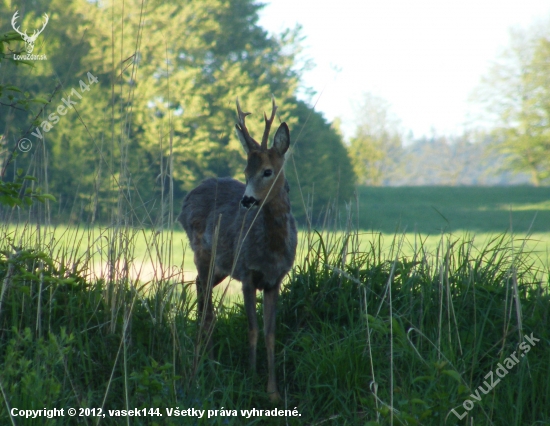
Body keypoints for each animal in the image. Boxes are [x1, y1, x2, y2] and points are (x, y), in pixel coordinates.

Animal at [178, 96, 298, 402]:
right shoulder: (247, 273)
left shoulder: (275, 280)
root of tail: (188, 197)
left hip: (220, 267)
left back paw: (206, 361)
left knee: (200, 291)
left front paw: (273, 391)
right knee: (205, 304)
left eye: (267, 171)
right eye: (245, 172)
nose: (246, 200)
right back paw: (202, 368)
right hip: (203, 255)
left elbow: (270, 333)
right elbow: (252, 329)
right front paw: (251, 378)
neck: (272, 250)